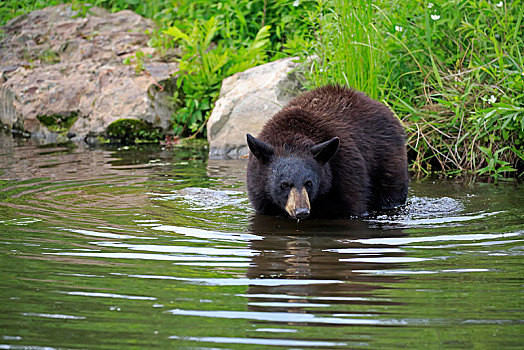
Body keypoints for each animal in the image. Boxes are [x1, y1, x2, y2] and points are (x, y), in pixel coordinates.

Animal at [247, 84, 410, 219]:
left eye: (309, 183)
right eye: (284, 184)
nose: (301, 211)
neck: (292, 136)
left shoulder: (347, 171)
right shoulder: (260, 191)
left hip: (389, 162)